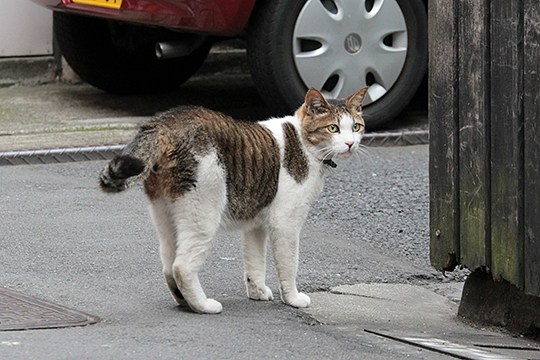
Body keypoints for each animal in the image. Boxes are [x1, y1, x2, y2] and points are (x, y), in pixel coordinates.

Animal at [99, 86, 370, 312]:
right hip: (203, 215)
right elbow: (289, 265)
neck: (305, 145)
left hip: (166, 213)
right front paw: (293, 299)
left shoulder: (256, 223)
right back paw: (203, 306)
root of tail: (164, 123)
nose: (350, 144)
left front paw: (257, 292)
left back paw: (183, 301)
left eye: (356, 127)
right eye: (333, 128)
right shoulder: (286, 224)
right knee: (181, 267)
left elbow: (254, 261)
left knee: (168, 263)